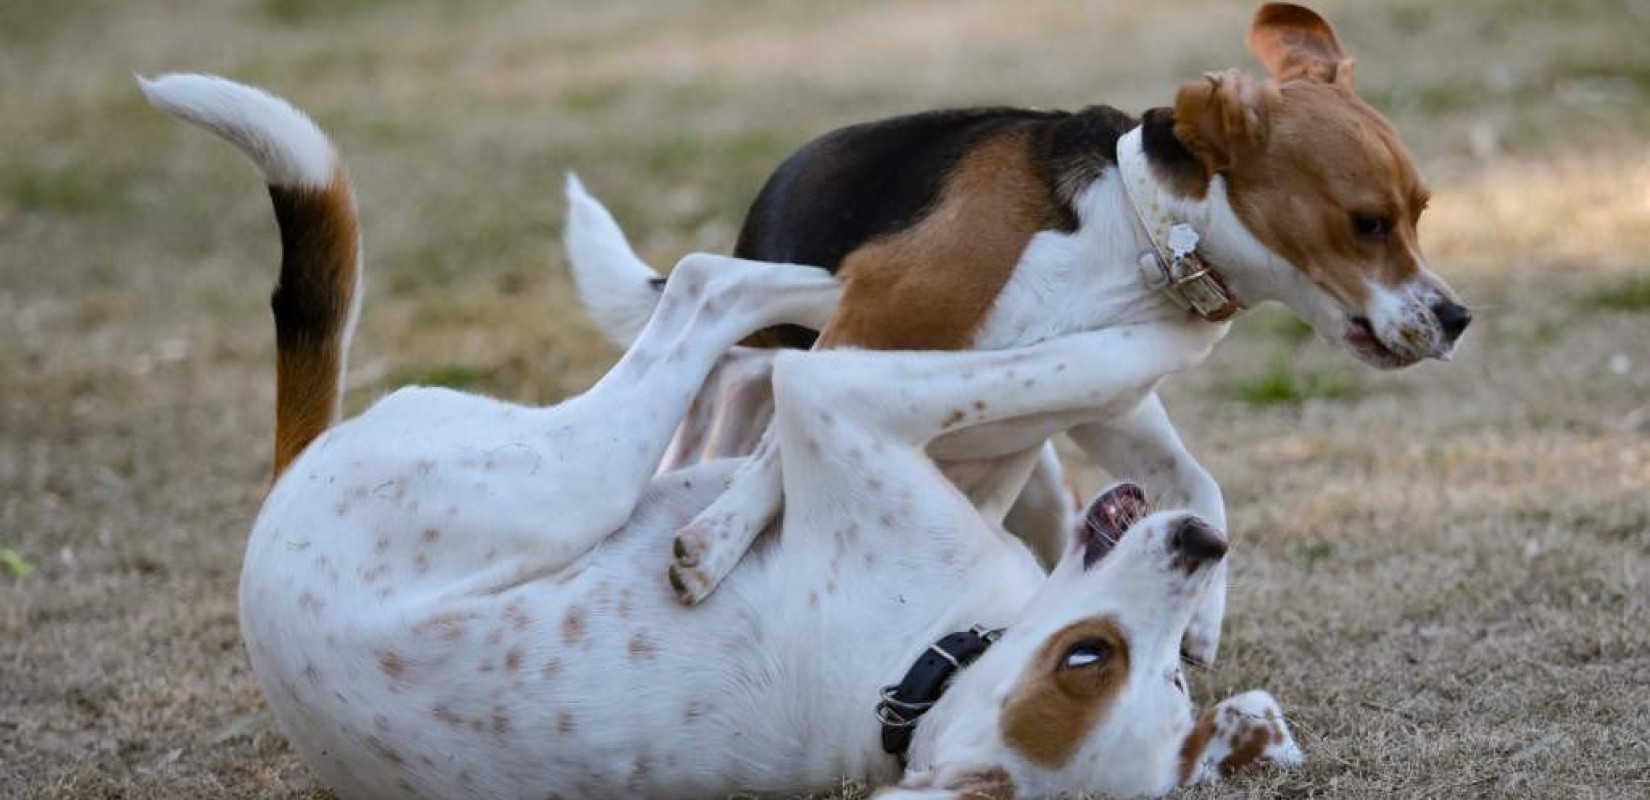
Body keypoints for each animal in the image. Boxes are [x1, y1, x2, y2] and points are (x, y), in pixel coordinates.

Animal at [141, 75, 1300, 798]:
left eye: (1164, 685)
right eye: (1094, 655)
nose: (1199, 547)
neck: (917, 683)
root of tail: (280, 490)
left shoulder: (853, 414)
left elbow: (1051, 380)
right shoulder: (864, 409)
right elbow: (1055, 369)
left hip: (563, 470)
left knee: (708, 290)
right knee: (722, 296)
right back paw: (823, 286)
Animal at [567, 3, 1471, 659]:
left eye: (1421, 213)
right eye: (1367, 223)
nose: (1457, 318)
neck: (1131, 234)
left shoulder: (1101, 399)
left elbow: (1200, 483)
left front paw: (1202, 616)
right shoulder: (878, 312)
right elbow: (773, 457)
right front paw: (715, 543)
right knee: (726, 363)